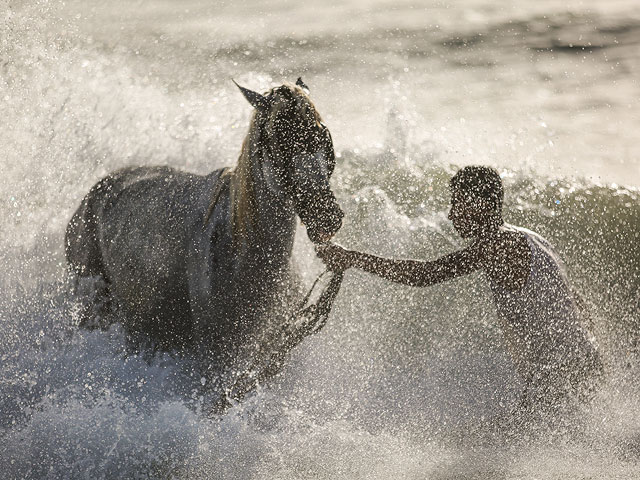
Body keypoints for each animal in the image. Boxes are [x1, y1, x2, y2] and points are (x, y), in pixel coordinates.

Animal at [65, 78, 344, 394]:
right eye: (278, 141)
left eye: (323, 134)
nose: (327, 216)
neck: (241, 252)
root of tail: (96, 192)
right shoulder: (216, 364)